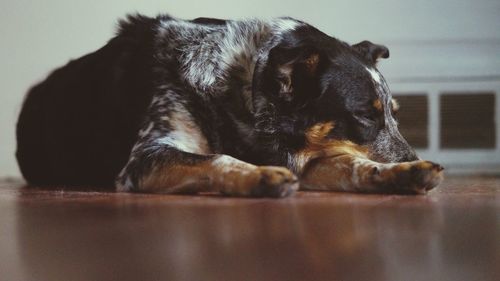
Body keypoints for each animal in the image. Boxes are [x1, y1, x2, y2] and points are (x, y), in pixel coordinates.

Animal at [16, 13, 446, 197]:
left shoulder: (311, 156)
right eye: (364, 116)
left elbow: (354, 166)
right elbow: (217, 159)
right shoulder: (145, 158)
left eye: (393, 114)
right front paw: (260, 176)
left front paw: (403, 173)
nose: (410, 156)